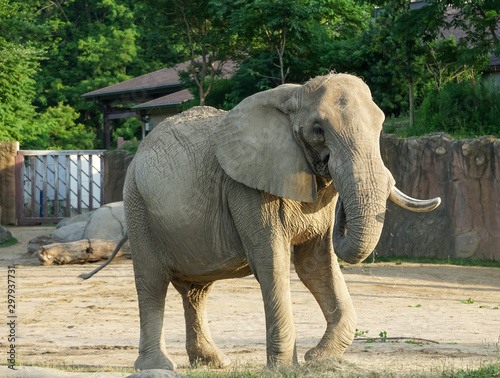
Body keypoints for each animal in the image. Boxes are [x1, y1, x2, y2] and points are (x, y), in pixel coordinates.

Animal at [85, 72, 438, 370]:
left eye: (380, 126)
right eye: (318, 129)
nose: (342, 217)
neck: (294, 95)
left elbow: (316, 265)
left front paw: (318, 359)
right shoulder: (247, 188)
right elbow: (273, 263)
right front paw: (287, 368)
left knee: (195, 292)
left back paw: (214, 363)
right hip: (138, 205)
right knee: (151, 282)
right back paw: (157, 366)